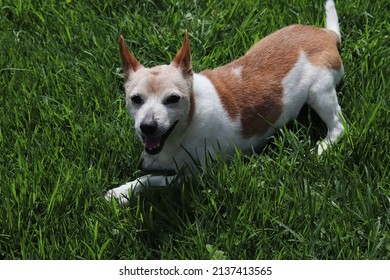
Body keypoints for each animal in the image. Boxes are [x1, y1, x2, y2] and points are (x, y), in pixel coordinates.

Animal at [106, 1, 344, 205]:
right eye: (135, 99)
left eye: (173, 99)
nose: (147, 126)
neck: (188, 121)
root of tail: (327, 34)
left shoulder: (194, 176)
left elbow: (150, 180)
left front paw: (121, 192)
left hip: (318, 91)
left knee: (339, 126)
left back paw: (323, 147)